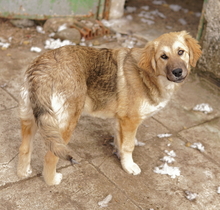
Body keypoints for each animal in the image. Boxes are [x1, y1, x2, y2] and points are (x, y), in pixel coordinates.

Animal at [16, 30, 201, 185]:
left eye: (181, 52)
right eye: (163, 56)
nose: (178, 72)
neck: (148, 76)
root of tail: (42, 70)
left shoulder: (120, 121)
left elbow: (121, 142)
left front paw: (122, 159)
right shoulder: (130, 121)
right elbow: (128, 146)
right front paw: (129, 166)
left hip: (31, 118)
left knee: (24, 148)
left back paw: (23, 172)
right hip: (65, 125)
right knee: (50, 156)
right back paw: (52, 180)